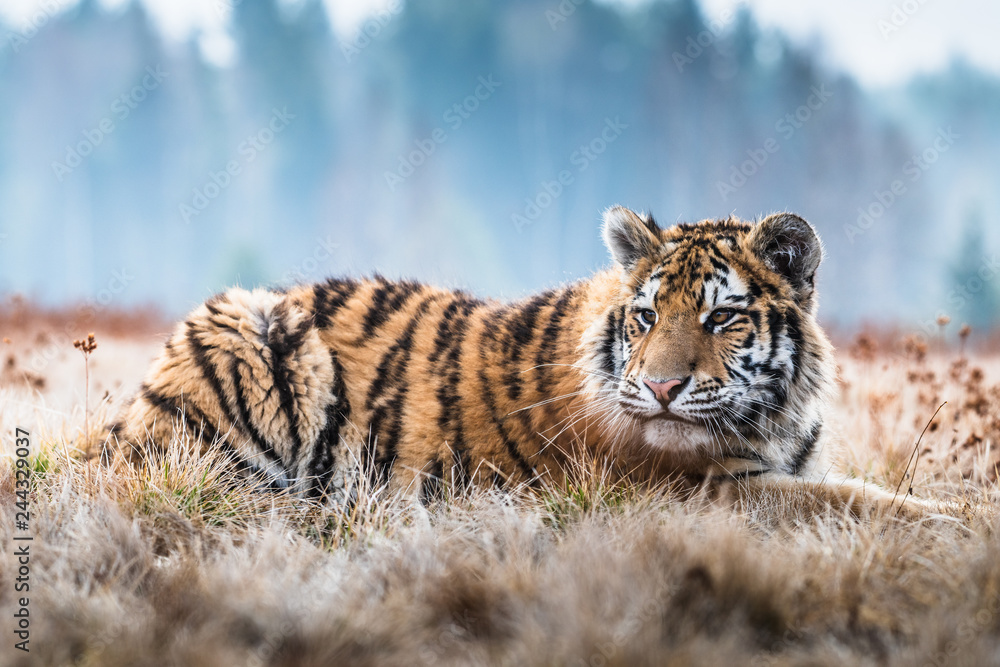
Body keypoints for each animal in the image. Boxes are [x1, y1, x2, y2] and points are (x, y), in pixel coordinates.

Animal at [107, 206, 919, 513]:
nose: (661, 387)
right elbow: (871, 503)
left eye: (722, 317)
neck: (774, 422)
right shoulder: (715, 493)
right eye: (647, 315)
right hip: (252, 328)